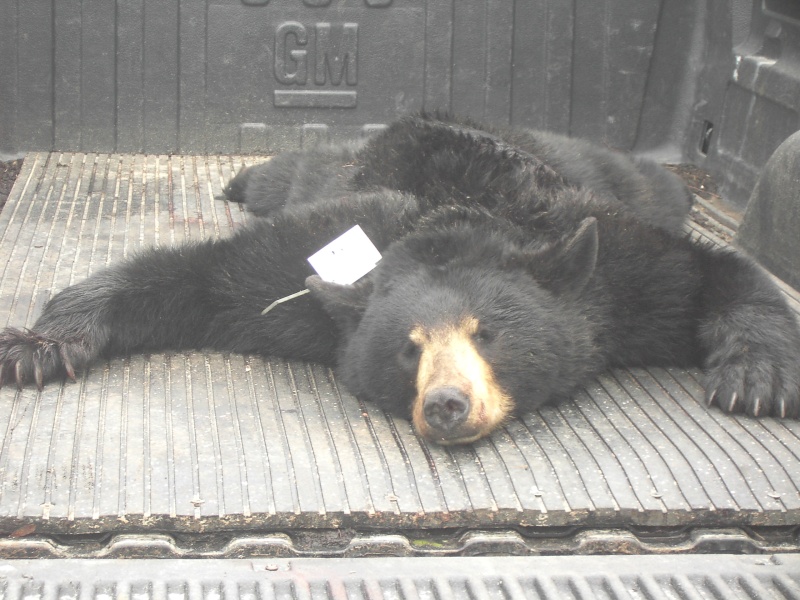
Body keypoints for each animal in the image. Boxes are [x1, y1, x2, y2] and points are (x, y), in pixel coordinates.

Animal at [1, 116, 800, 446]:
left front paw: (755, 378)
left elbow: (710, 273)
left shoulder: (617, 268)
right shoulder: (310, 255)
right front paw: (42, 343)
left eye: (489, 332)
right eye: (407, 348)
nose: (447, 404)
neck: (460, 216)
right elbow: (201, 277)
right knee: (282, 172)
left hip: (599, 168)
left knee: (650, 184)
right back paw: (240, 177)